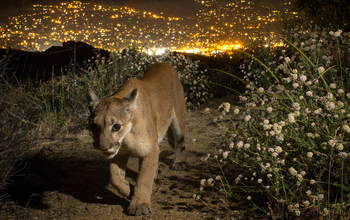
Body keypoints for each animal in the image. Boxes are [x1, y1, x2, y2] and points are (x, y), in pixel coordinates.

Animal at [86, 62, 187, 216]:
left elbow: (143, 179)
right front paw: (128, 190)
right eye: (94, 126)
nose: (103, 147)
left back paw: (179, 163)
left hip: (178, 118)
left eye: (116, 127)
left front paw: (140, 204)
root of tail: (163, 63)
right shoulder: (120, 152)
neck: (127, 136)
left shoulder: (149, 149)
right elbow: (114, 176)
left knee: (180, 142)